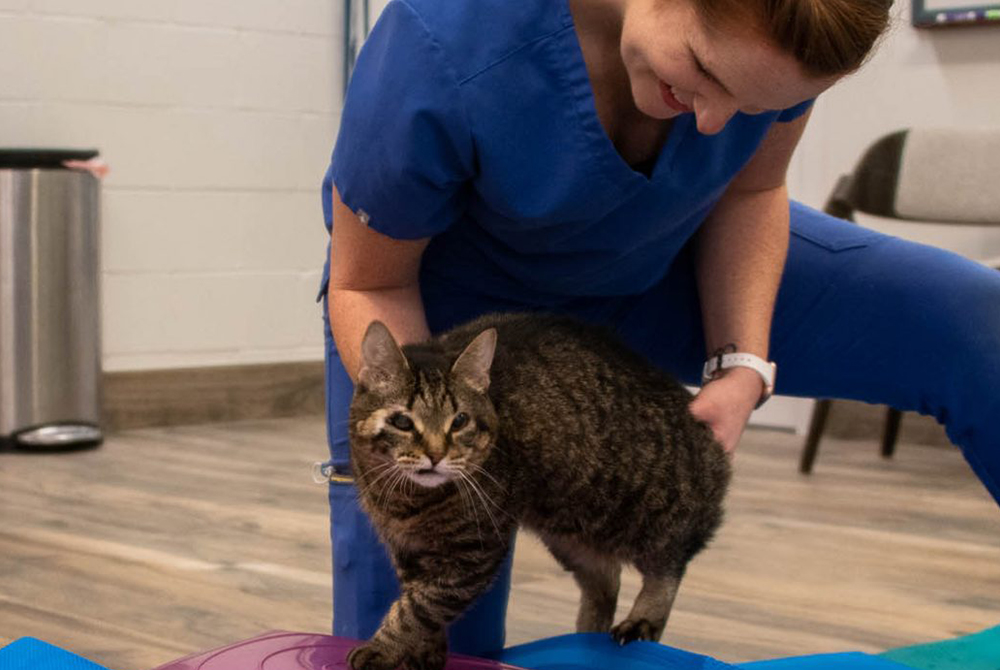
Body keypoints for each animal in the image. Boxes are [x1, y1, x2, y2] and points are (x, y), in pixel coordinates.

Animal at [348, 314, 732, 670]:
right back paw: (585, 639)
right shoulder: (408, 552)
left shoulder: (473, 554)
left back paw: (642, 619)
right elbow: (420, 600)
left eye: (459, 421)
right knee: (607, 580)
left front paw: (383, 648)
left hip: (639, 510)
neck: (407, 502)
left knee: (670, 560)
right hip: (568, 532)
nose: (436, 454)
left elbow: (419, 607)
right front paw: (424, 651)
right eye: (402, 422)